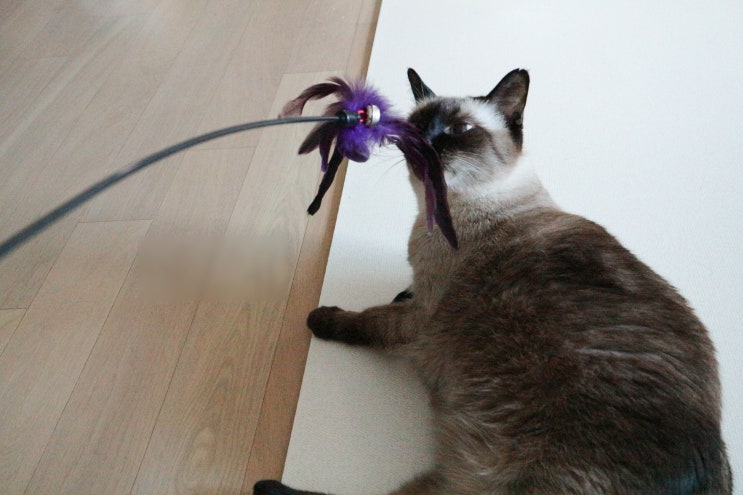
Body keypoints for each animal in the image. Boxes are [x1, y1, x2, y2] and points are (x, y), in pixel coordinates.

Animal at [255, 68, 732, 495]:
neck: (439, 215)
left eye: (460, 130)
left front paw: (322, 318)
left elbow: (368, 320)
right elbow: (397, 298)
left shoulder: (421, 319)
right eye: (417, 125)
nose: (426, 141)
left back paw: (267, 486)